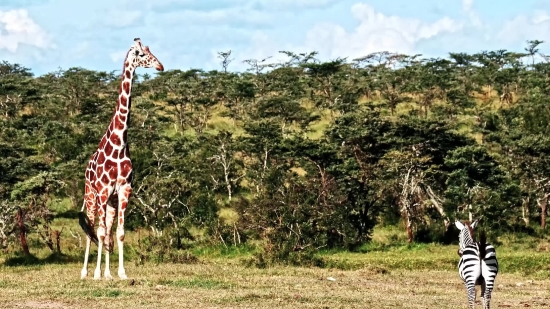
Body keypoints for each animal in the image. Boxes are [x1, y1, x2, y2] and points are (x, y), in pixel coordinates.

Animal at [78, 37, 164, 278]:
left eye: (151, 52)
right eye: (141, 54)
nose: (160, 66)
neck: (119, 143)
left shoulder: (124, 189)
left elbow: (119, 232)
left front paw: (120, 273)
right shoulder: (103, 190)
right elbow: (98, 232)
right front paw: (97, 273)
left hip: (111, 201)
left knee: (106, 230)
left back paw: (107, 272)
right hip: (91, 196)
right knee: (92, 228)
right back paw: (87, 272)